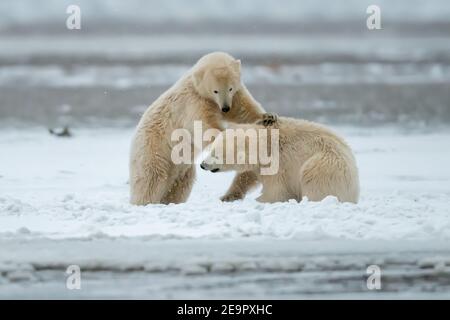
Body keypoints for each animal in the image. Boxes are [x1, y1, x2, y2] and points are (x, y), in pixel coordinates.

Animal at [128, 50, 272, 205]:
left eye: (230, 88)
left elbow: (243, 110)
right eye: (215, 91)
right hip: (155, 151)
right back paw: (144, 201)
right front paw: (224, 134)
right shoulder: (193, 102)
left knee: (181, 184)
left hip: (182, 168)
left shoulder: (235, 95)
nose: (225, 108)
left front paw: (268, 117)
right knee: (151, 179)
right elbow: (204, 126)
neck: (195, 85)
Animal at [200, 116, 358, 204]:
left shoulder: (281, 163)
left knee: (314, 180)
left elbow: (277, 191)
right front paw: (227, 197)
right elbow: (246, 176)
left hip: (325, 165)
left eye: (215, 154)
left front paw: (260, 200)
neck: (266, 145)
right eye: (211, 149)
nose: (202, 164)